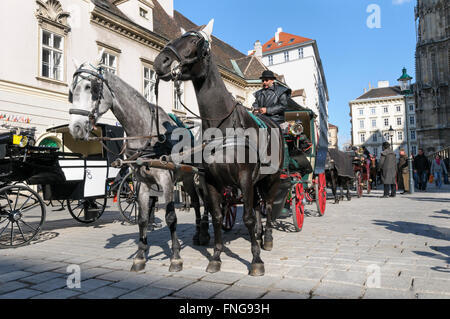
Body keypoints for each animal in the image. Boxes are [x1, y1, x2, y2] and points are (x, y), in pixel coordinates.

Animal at [67, 53, 210, 274]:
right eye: (71, 90)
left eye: (92, 87)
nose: (75, 128)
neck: (146, 133)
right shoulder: (142, 182)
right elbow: (142, 218)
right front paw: (140, 256)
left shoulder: (166, 180)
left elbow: (171, 217)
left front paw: (176, 257)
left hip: (192, 176)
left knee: (198, 202)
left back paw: (201, 232)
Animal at [153, 20, 284, 276]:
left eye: (194, 41)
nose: (160, 61)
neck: (222, 124)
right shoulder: (211, 180)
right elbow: (216, 216)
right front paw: (215, 257)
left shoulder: (244, 177)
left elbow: (249, 218)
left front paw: (256, 260)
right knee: (259, 206)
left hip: (272, 178)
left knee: (268, 205)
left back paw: (267, 238)